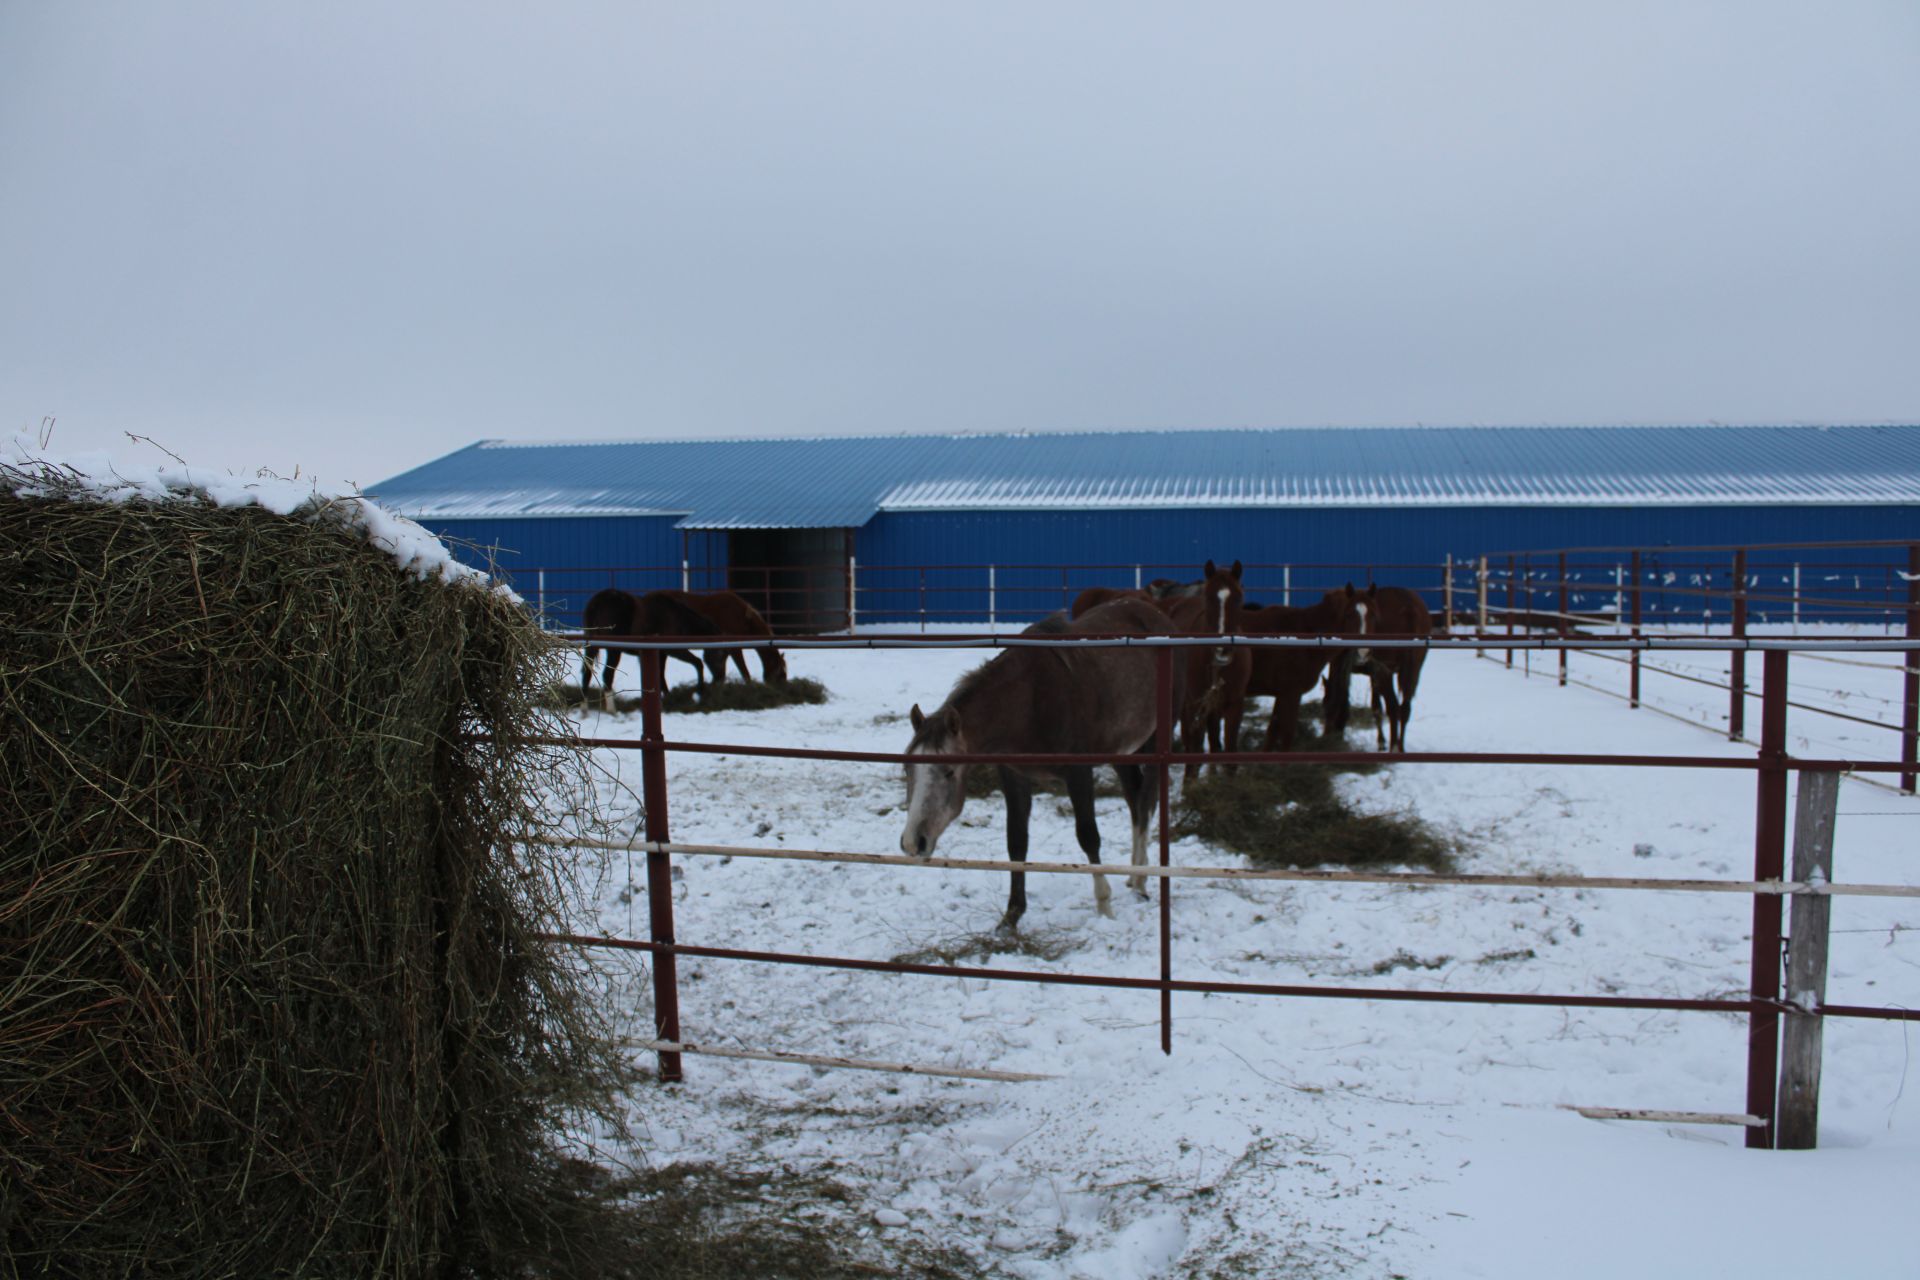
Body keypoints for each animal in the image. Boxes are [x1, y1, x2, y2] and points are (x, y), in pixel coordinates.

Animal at [898, 602, 1182, 932]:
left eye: (949, 772)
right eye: (907, 770)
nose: (913, 842)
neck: (1030, 701)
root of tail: (1155, 614)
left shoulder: (1079, 774)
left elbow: (1088, 836)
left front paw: (1104, 906)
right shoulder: (1013, 775)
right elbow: (1016, 840)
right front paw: (1012, 915)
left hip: (1157, 740)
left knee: (1146, 800)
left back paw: (1140, 881)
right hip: (1122, 749)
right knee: (1135, 798)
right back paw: (1134, 873)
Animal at [1236, 587, 1374, 756]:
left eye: (1373, 613)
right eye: (1349, 614)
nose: (1363, 652)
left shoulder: (1282, 694)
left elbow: (1272, 732)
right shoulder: (1291, 694)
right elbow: (1286, 735)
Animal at [1328, 587, 1436, 756]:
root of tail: (1409, 606)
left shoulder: (1341, 668)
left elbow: (1340, 701)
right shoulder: (1374, 675)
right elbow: (1376, 706)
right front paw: (1381, 741)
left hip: (1386, 670)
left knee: (1393, 707)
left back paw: (1394, 747)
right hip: (1414, 669)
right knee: (1404, 708)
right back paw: (1400, 746)